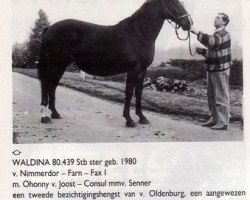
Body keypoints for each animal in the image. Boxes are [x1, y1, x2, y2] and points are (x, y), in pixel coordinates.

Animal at [38, 0, 192, 126]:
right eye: (174, 2)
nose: (189, 23)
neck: (138, 34)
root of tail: (49, 28)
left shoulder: (143, 71)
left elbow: (139, 93)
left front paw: (142, 118)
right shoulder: (133, 70)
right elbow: (129, 93)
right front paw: (129, 120)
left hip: (60, 65)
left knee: (52, 86)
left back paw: (55, 114)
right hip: (56, 64)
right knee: (47, 85)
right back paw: (45, 117)